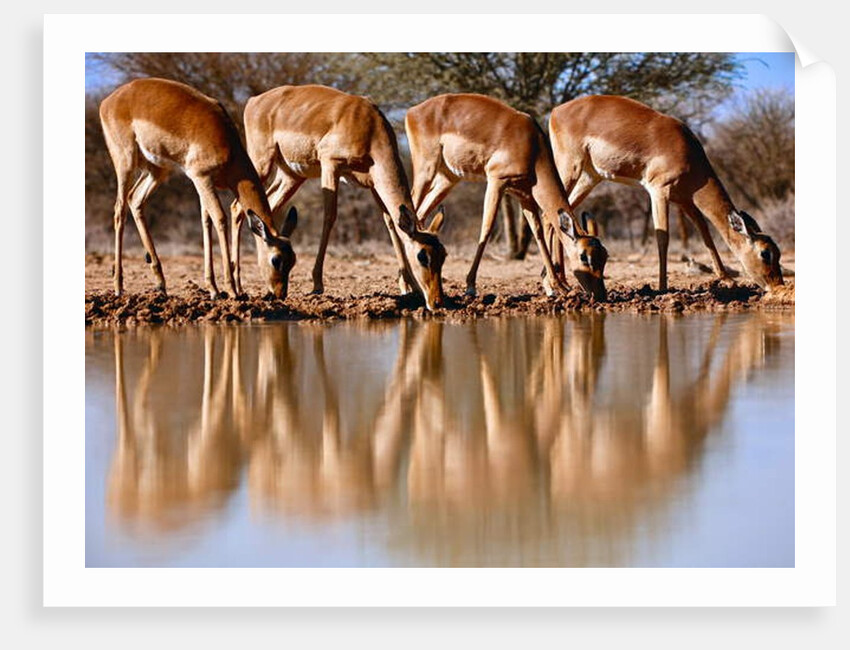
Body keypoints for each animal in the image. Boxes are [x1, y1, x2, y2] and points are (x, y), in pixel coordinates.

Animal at [99, 77, 297, 300]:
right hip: (125, 162)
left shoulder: (202, 183)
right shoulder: (202, 178)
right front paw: (232, 290)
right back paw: (118, 287)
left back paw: (160, 283)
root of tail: (109, 100)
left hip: (157, 170)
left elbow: (206, 222)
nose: (280, 294)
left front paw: (214, 289)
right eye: (276, 260)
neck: (227, 144)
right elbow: (219, 218)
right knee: (119, 210)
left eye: (293, 259)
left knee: (135, 199)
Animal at [233, 85, 447, 311]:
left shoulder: (373, 183)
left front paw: (410, 286)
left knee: (265, 209)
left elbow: (391, 223)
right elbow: (330, 217)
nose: (437, 301)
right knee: (237, 208)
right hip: (261, 164)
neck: (369, 127)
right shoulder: (330, 165)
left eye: (443, 254)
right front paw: (317, 284)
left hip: (291, 176)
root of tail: (254, 100)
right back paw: (237, 287)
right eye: (422, 256)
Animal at [404, 93, 608, 301]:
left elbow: (538, 233)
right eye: (584, 256)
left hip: (447, 179)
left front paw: (557, 287)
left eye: (604, 256)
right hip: (426, 170)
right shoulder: (496, 182)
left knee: (420, 215)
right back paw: (406, 287)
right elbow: (486, 229)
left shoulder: (525, 196)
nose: (601, 295)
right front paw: (470, 287)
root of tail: (413, 111)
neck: (533, 147)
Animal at [549, 94, 784, 292]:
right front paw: (662, 287)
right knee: (547, 213)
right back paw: (557, 284)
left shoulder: (684, 200)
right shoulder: (659, 190)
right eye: (765, 253)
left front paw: (726, 278)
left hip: (590, 178)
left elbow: (705, 231)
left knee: (558, 215)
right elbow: (663, 238)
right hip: (570, 168)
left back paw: (560, 282)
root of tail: (556, 110)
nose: (777, 285)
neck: (688, 152)